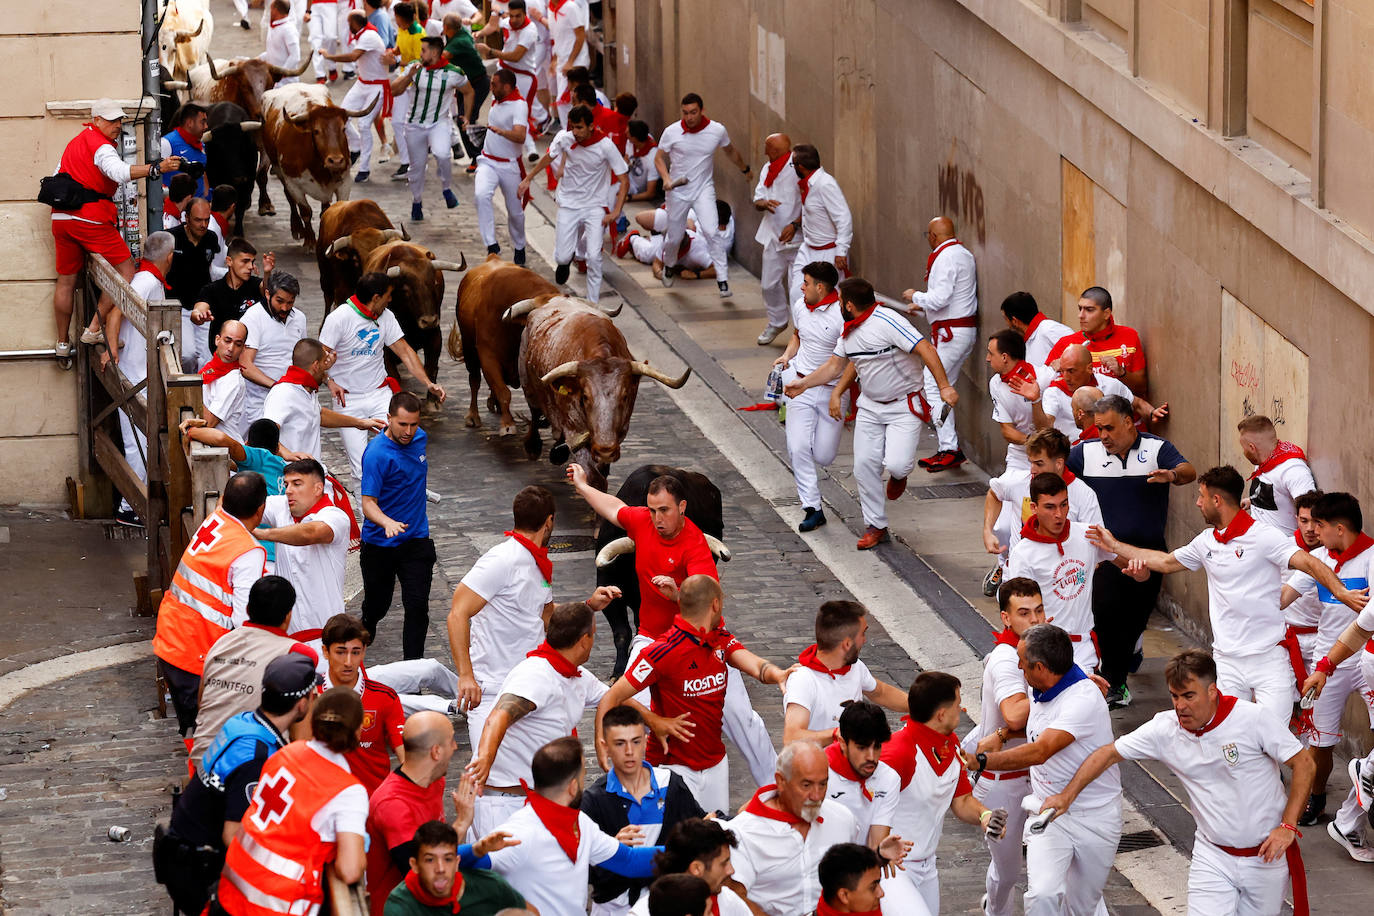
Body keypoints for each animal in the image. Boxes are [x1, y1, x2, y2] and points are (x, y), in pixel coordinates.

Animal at [359, 241, 467, 409]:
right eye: (406, 289)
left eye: (434, 283)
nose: (429, 320)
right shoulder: (386, 348)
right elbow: (393, 374)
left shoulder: (435, 336)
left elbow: (430, 368)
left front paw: (432, 402)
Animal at [502, 298, 687, 491]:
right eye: (585, 397)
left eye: (625, 396)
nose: (605, 449)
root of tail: (557, 298)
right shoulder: (574, 430)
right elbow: (595, 478)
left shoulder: (618, 433)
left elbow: (602, 471)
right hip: (527, 382)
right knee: (535, 412)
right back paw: (534, 446)